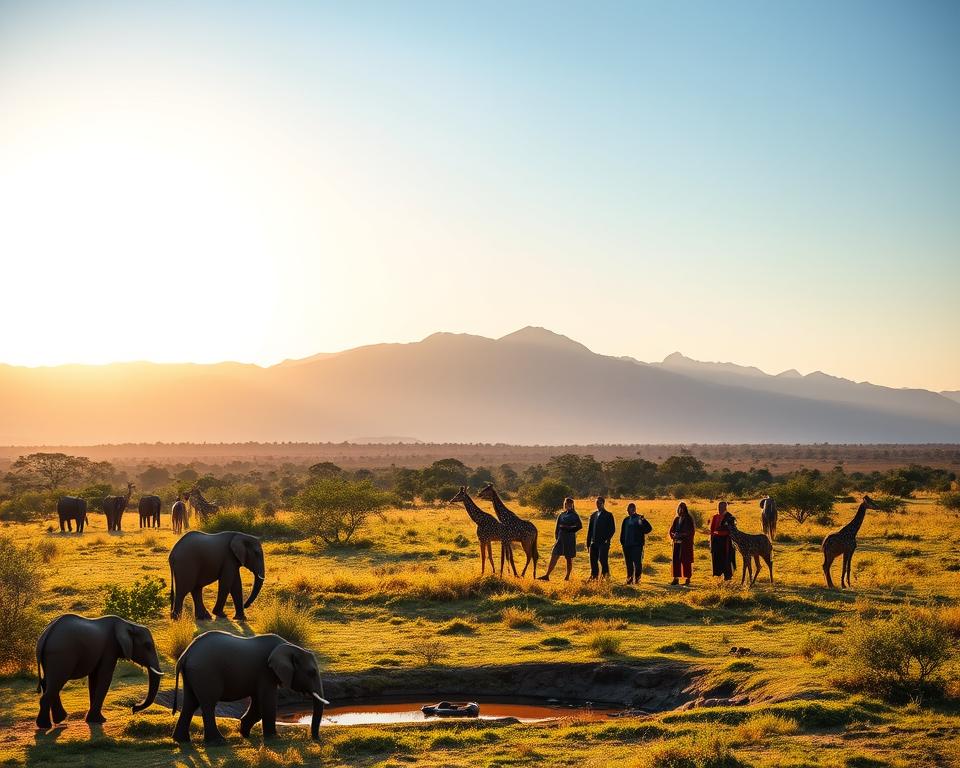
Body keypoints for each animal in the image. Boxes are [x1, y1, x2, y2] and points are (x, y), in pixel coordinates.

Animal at [35, 614, 163, 728]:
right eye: (147, 646)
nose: (133, 707)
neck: (128, 624)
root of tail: (45, 635)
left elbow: (94, 679)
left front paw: (92, 720)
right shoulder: (110, 648)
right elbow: (105, 677)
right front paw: (100, 720)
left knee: (48, 683)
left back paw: (58, 719)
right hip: (60, 655)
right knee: (55, 683)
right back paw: (45, 725)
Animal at [172, 630, 327, 743]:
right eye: (311, 673)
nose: (315, 739)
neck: (289, 646)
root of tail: (185, 654)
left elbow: (258, 703)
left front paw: (244, 732)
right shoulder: (266, 672)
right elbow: (268, 701)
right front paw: (274, 738)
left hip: (193, 674)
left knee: (190, 703)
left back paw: (181, 741)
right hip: (205, 672)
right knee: (208, 704)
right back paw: (218, 742)